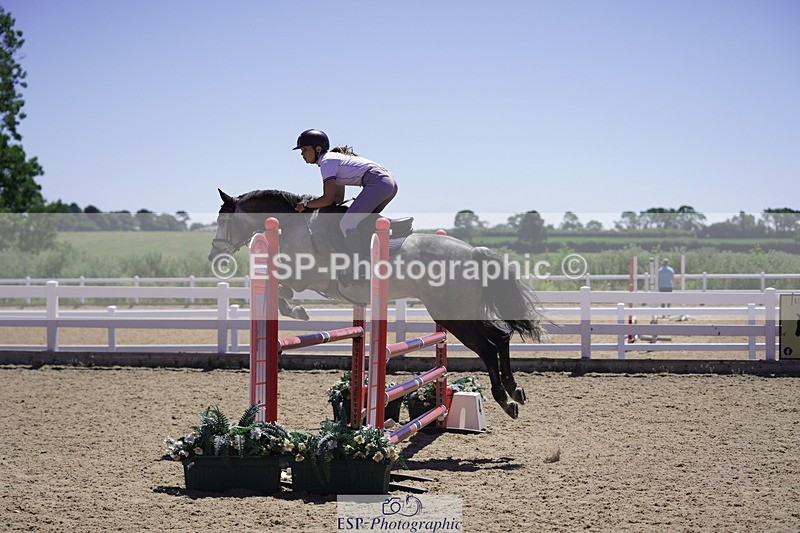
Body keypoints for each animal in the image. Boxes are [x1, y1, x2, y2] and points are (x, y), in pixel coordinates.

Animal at [208, 188, 544, 418]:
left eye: (223, 220)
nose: (215, 256)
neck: (293, 226)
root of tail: (473, 251)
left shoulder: (306, 276)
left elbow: (283, 290)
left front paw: (296, 309)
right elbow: (282, 291)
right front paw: (295, 307)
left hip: (453, 314)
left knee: (487, 347)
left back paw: (506, 400)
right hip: (463, 311)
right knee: (501, 337)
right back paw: (515, 390)